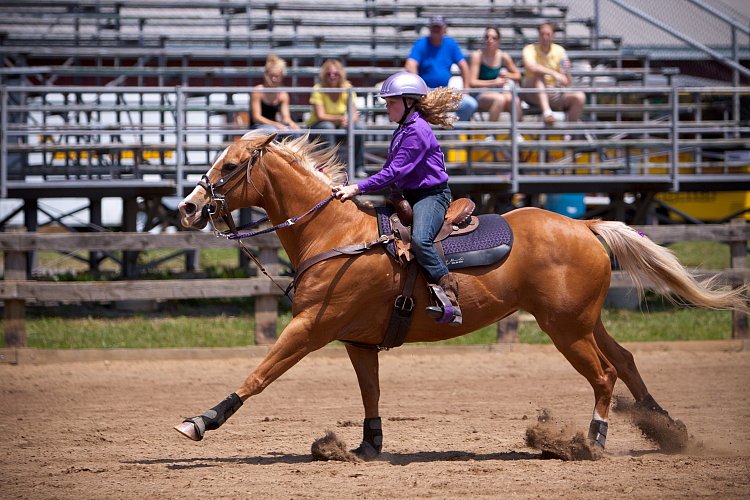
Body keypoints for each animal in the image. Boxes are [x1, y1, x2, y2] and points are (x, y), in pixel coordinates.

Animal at [175, 131, 748, 458]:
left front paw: (200, 421)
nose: (188, 207)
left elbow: (259, 375)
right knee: (626, 360)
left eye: (230, 167)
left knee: (605, 374)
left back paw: (593, 440)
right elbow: (370, 393)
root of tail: (585, 225)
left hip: (565, 329)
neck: (337, 234)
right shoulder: (358, 342)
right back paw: (667, 428)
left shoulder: (311, 326)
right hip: (582, 321)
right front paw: (367, 444)